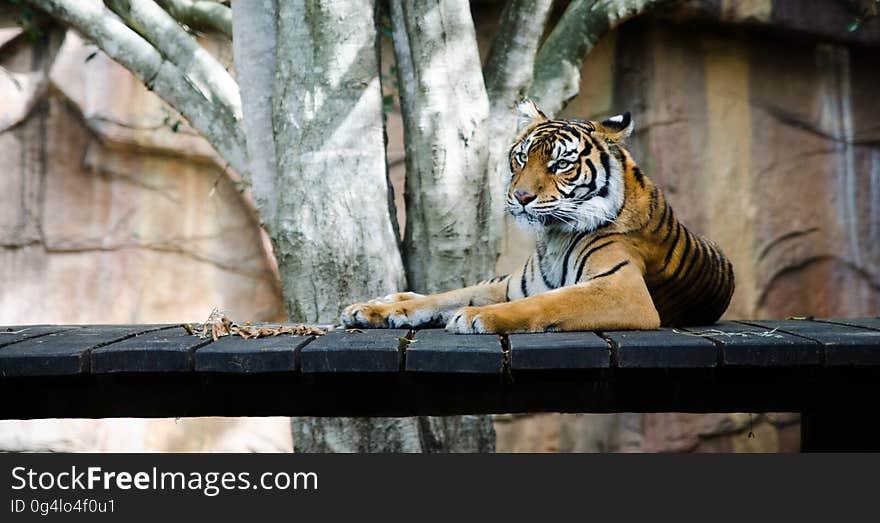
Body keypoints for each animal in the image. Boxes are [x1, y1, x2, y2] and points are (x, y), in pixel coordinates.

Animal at [344, 100, 736, 334]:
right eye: (521, 157)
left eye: (560, 164)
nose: (520, 196)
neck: (554, 236)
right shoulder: (512, 285)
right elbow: (446, 296)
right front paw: (369, 310)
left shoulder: (624, 290)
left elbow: (545, 301)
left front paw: (476, 317)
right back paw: (386, 301)